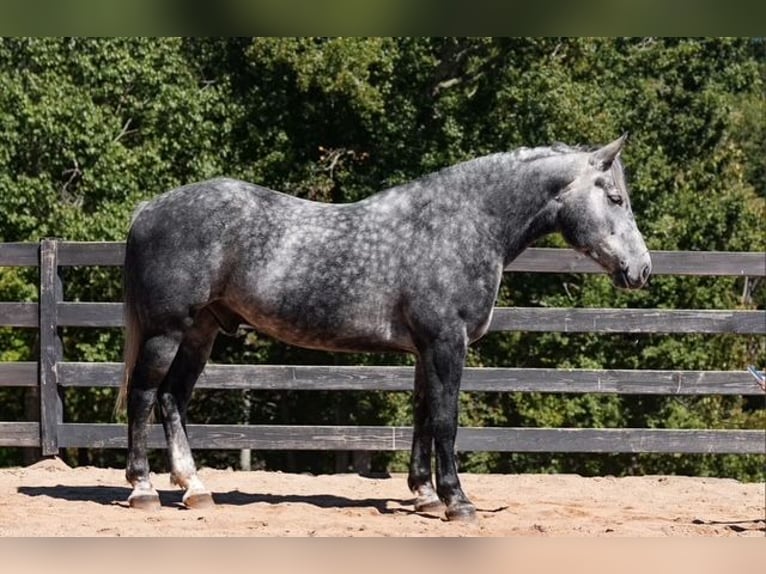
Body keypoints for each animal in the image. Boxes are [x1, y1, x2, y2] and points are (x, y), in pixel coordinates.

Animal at [116, 134, 651, 521]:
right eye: (616, 197)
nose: (642, 269)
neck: (464, 224)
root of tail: (148, 209)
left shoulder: (426, 349)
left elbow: (422, 414)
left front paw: (424, 494)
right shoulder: (447, 343)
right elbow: (446, 419)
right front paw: (457, 501)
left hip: (201, 333)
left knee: (173, 399)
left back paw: (195, 489)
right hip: (167, 332)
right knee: (144, 396)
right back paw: (143, 489)